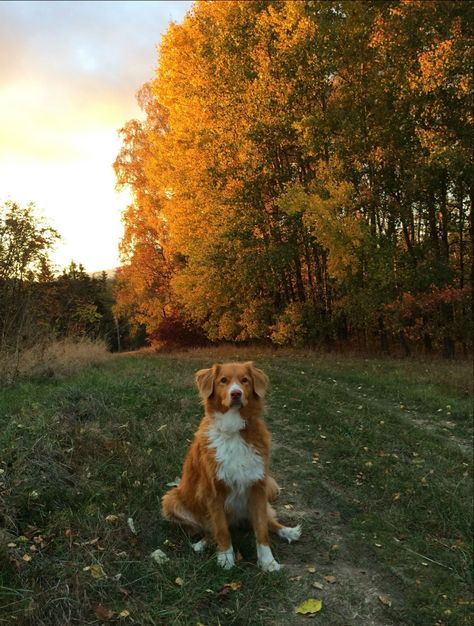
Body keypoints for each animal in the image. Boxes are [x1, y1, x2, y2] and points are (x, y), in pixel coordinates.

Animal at [159, 358, 300, 568]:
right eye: (223, 381)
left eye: (245, 380)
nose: (236, 394)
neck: (233, 429)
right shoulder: (214, 491)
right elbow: (221, 529)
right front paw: (226, 558)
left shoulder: (257, 487)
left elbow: (261, 529)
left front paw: (268, 562)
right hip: (172, 499)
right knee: (209, 529)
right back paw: (202, 544)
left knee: (268, 520)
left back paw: (287, 531)